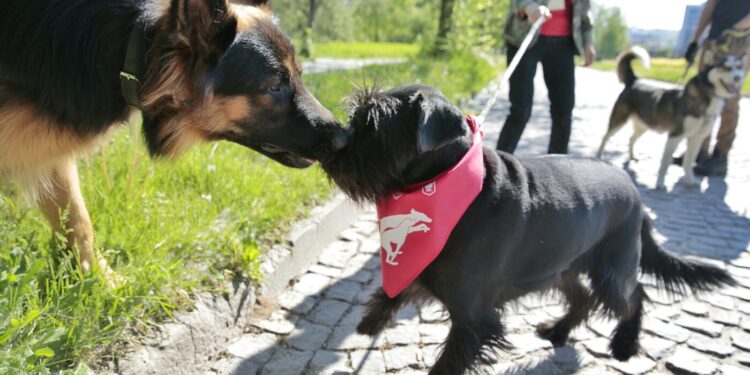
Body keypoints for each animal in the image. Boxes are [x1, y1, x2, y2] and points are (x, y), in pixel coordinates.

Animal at [0, 0, 346, 276]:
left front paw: (100, 283)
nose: (344, 137)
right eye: (275, 85)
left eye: (299, 76)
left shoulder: (44, 152)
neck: (133, 47)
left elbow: (79, 221)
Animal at [322, 85, 736, 375]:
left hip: (612, 268)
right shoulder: (429, 266)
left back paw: (624, 344)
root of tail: (637, 195)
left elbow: (448, 361)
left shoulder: (474, 318)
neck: (452, 188)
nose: (334, 145)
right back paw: (558, 331)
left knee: (634, 297)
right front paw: (370, 321)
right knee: (583, 298)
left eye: (375, 125)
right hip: (561, 267)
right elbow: (395, 289)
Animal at [600, 45, 748, 189]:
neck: (706, 97)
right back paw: (599, 156)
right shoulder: (675, 135)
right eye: (726, 67)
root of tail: (634, 81)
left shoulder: (697, 138)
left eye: (739, 67)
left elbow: (689, 161)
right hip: (619, 120)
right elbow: (665, 163)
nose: (738, 78)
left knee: (631, 138)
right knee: (605, 137)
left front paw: (690, 180)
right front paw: (660, 183)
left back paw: (631, 156)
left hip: (644, 125)